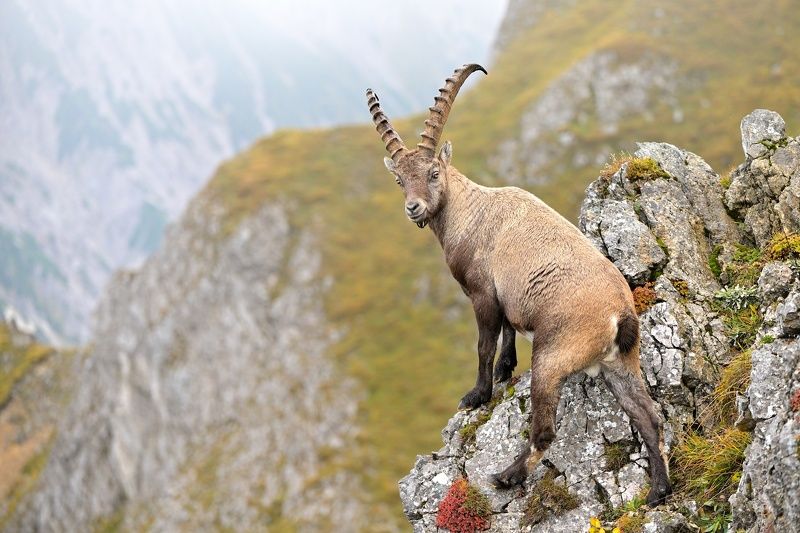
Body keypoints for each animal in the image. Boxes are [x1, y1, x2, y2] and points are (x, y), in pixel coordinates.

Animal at [365, 64, 672, 505]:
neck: (470, 212)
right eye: (400, 181)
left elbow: (483, 346)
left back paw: (507, 476)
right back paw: (659, 489)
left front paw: (477, 393)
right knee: (649, 418)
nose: (414, 208)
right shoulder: (503, 298)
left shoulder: (481, 294)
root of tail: (620, 315)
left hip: (551, 357)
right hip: (621, 365)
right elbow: (508, 331)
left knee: (545, 433)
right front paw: (505, 370)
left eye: (433, 172)